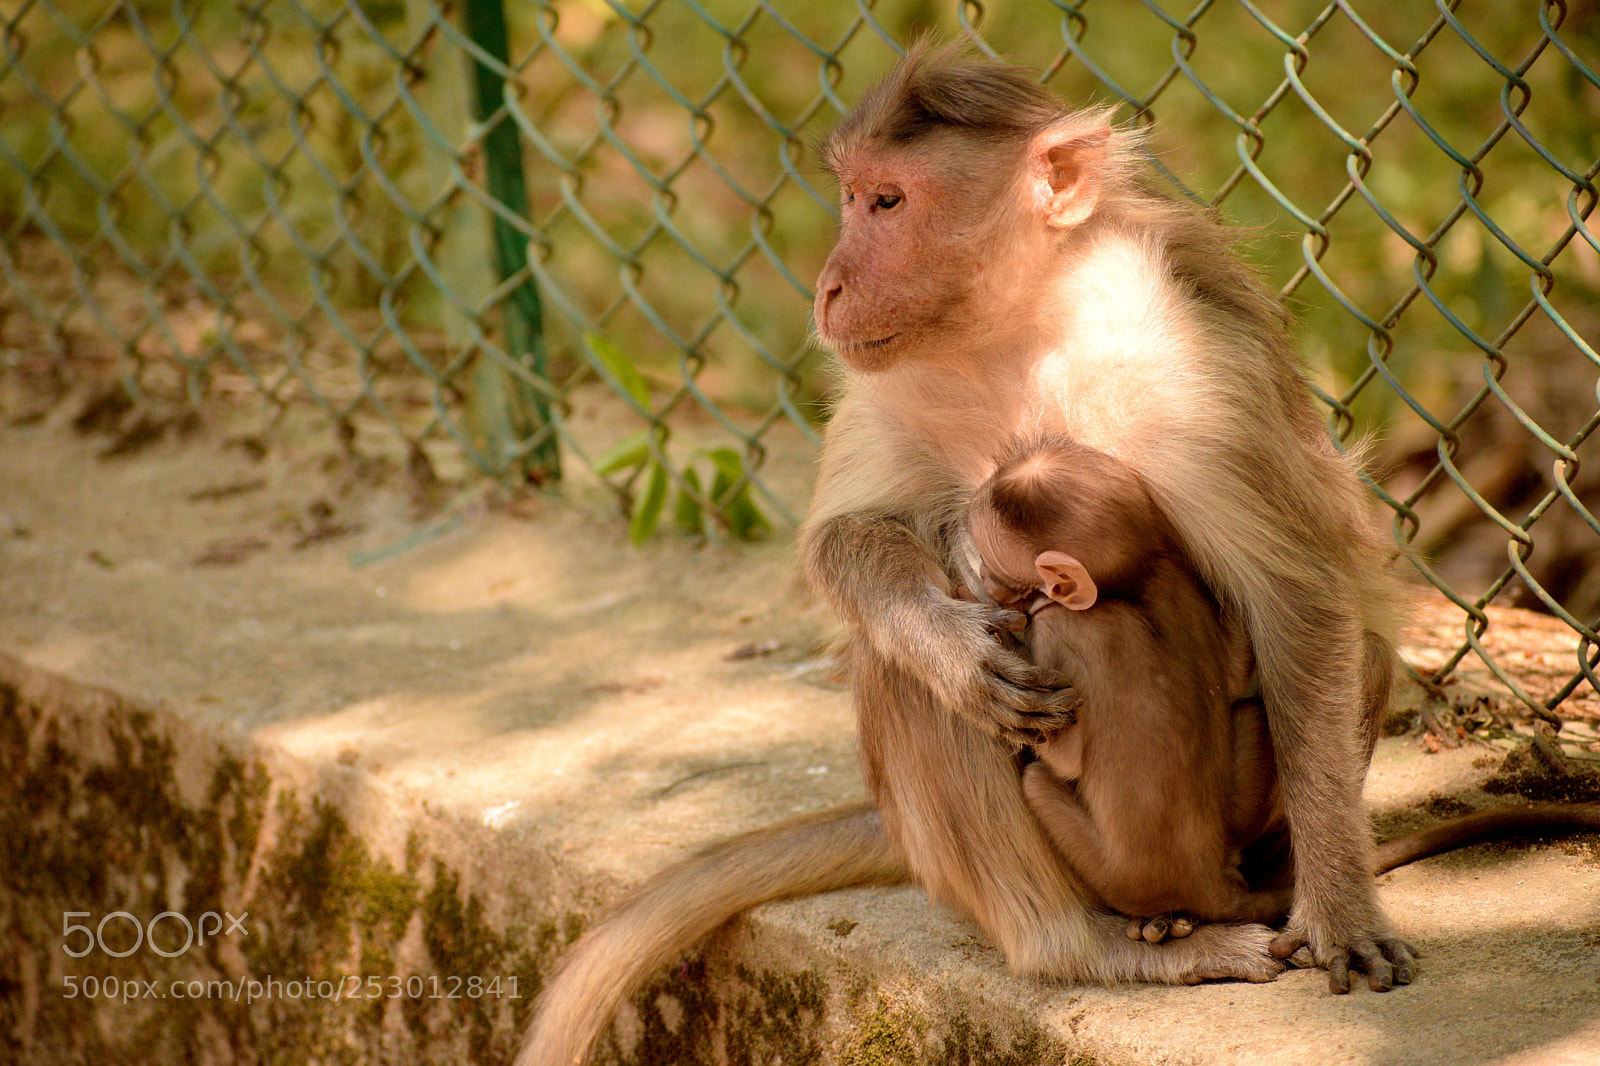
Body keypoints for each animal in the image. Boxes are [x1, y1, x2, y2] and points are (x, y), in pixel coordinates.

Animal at [963, 433, 1293, 929]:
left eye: (992, 561)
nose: (981, 573)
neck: (1120, 591)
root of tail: (1206, 883)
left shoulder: (1055, 630)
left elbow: (1064, 758)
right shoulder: (1177, 579)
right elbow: (1237, 667)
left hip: (1118, 876)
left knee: (1038, 779)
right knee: (1252, 711)